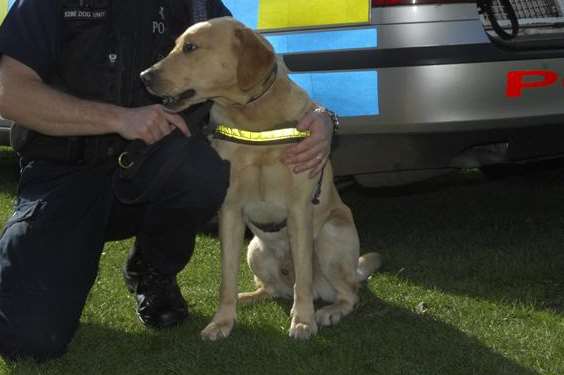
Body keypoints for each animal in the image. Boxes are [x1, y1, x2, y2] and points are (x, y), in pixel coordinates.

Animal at [141, 16, 382, 340]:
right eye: (175, 45)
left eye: (190, 47)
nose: (144, 76)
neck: (254, 118)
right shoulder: (230, 212)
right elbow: (226, 280)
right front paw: (221, 321)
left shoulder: (299, 211)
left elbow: (303, 279)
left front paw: (303, 321)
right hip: (255, 249)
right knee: (272, 290)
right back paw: (247, 298)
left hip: (330, 236)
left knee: (347, 293)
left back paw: (328, 311)